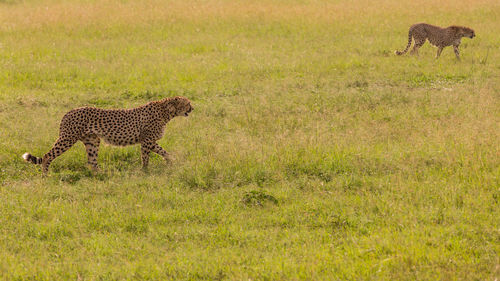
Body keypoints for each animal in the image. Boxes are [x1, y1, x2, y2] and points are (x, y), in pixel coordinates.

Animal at [22, 95, 192, 173]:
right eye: (188, 103)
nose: (193, 108)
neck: (166, 112)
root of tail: (69, 111)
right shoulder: (146, 141)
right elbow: (148, 156)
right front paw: (145, 170)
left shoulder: (149, 141)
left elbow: (162, 152)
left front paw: (170, 161)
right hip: (67, 139)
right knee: (47, 156)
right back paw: (45, 175)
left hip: (92, 141)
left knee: (91, 161)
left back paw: (101, 174)